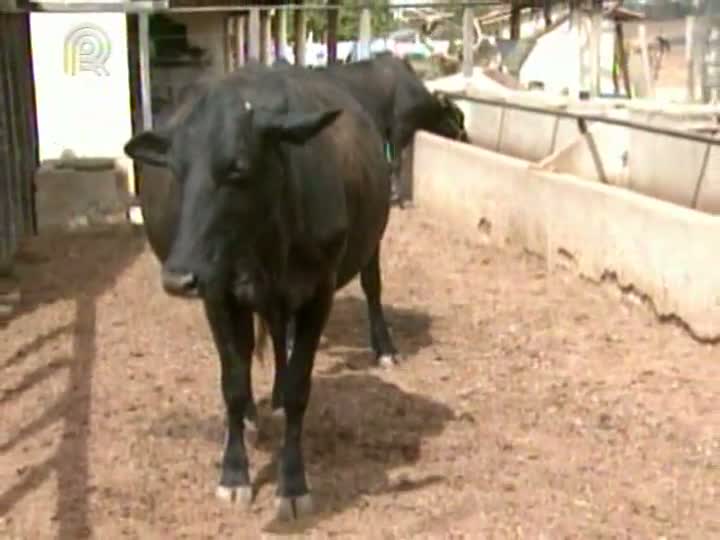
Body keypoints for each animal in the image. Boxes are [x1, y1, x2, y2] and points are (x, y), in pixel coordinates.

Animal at [126, 62, 402, 520]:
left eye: (237, 167)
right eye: (176, 169)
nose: (178, 278)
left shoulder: (319, 293)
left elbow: (298, 387)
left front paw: (292, 483)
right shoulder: (219, 295)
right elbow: (234, 385)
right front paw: (234, 473)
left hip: (367, 245)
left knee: (369, 287)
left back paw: (382, 349)